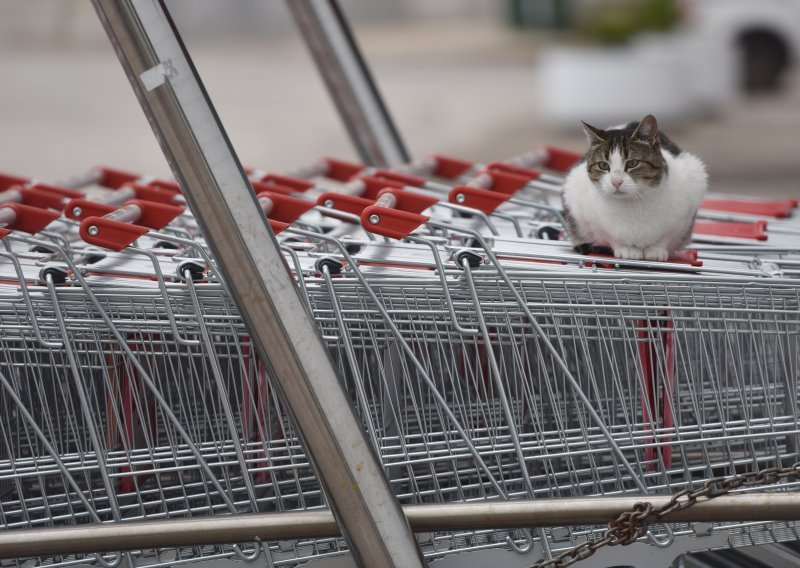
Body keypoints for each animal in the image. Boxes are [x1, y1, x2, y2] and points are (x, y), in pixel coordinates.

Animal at [560, 115, 708, 262]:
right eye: (603, 165)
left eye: (633, 163)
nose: (616, 182)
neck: (632, 204)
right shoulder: (585, 214)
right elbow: (610, 236)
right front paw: (626, 248)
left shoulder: (682, 217)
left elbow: (666, 237)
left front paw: (656, 250)